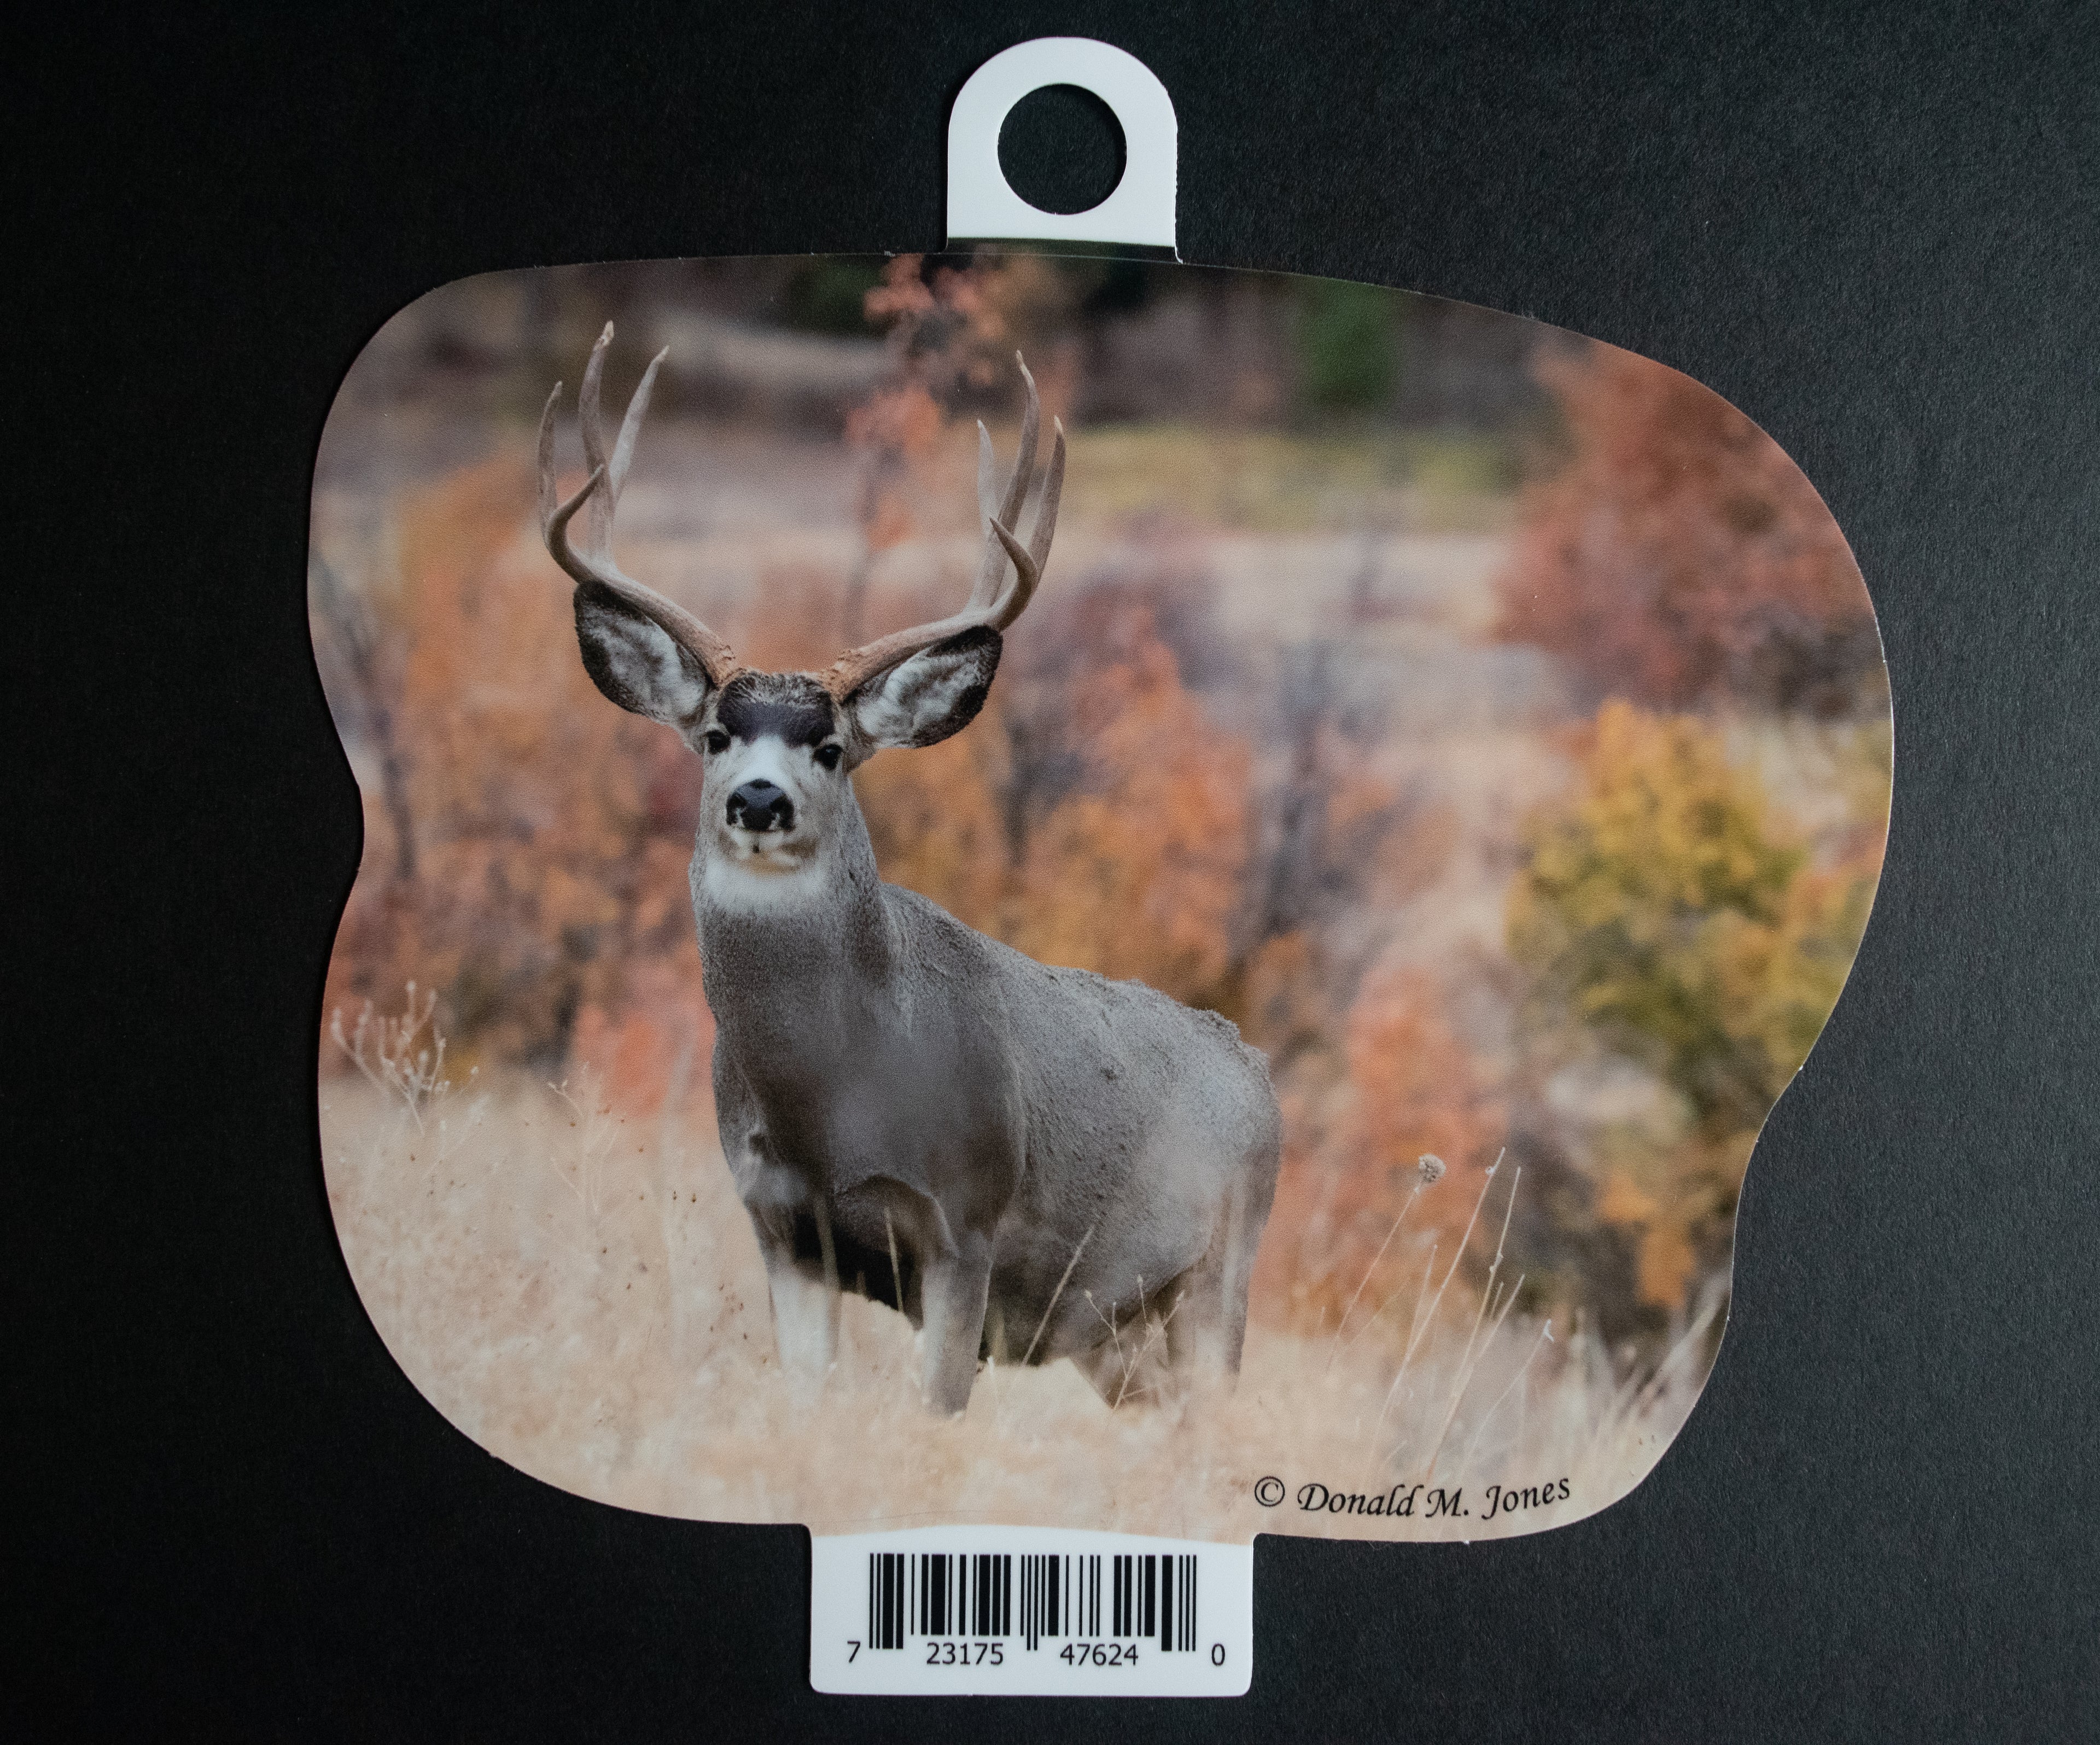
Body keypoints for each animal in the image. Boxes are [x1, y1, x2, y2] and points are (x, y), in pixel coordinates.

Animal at [535, 324, 1281, 1415]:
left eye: (832, 748)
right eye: (716, 735)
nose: (759, 800)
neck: (834, 1104)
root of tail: (1260, 1072)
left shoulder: (965, 1226)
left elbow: (937, 1408)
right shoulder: (780, 1228)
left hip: (1224, 1271)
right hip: (1121, 1337)